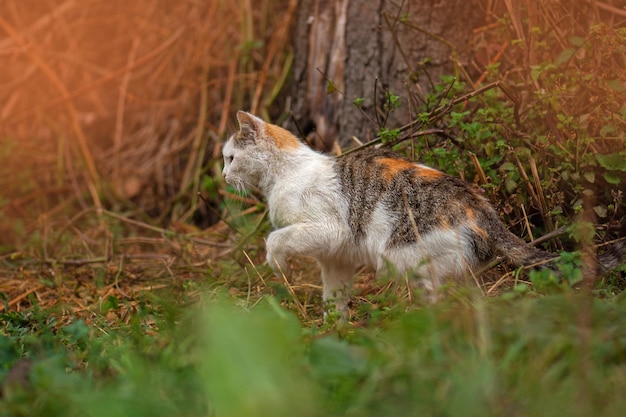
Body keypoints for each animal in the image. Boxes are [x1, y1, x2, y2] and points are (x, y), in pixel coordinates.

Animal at [222, 109, 620, 318]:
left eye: (229, 157)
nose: (222, 175)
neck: (284, 174)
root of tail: (484, 211)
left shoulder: (328, 228)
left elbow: (276, 237)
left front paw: (276, 263)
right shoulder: (336, 256)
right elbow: (334, 292)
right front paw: (336, 324)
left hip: (405, 256)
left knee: (442, 303)